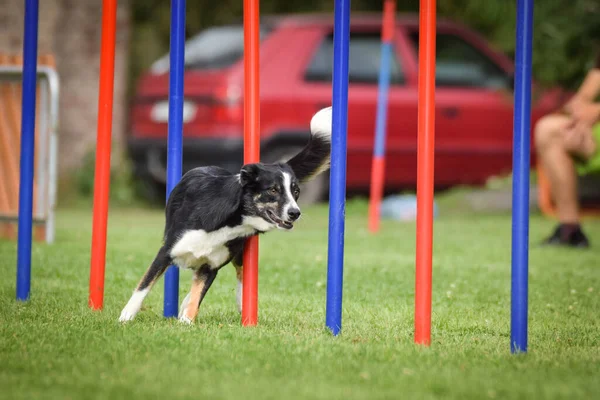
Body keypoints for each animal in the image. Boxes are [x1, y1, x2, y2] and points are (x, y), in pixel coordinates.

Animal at [118, 105, 332, 322]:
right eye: (273, 190)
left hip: (236, 254)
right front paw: (126, 316)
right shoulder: (166, 252)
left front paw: (186, 322)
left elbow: (197, 296)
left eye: (296, 192)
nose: (295, 213)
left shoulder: (210, 267)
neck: (230, 222)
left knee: (238, 274)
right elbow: (144, 285)